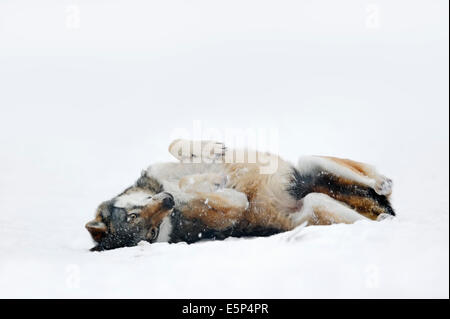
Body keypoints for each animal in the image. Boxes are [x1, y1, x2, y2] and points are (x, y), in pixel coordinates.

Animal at [85, 140, 394, 252]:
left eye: (134, 215)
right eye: (149, 232)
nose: (168, 201)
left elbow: (176, 146)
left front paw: (209, 152)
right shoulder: (232, 208)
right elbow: (230, 197)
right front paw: (207, 182)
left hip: (309, 164)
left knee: (376, 182)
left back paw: (383, 183)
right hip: (316, 203)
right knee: (375, 218)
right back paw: (384, 220)